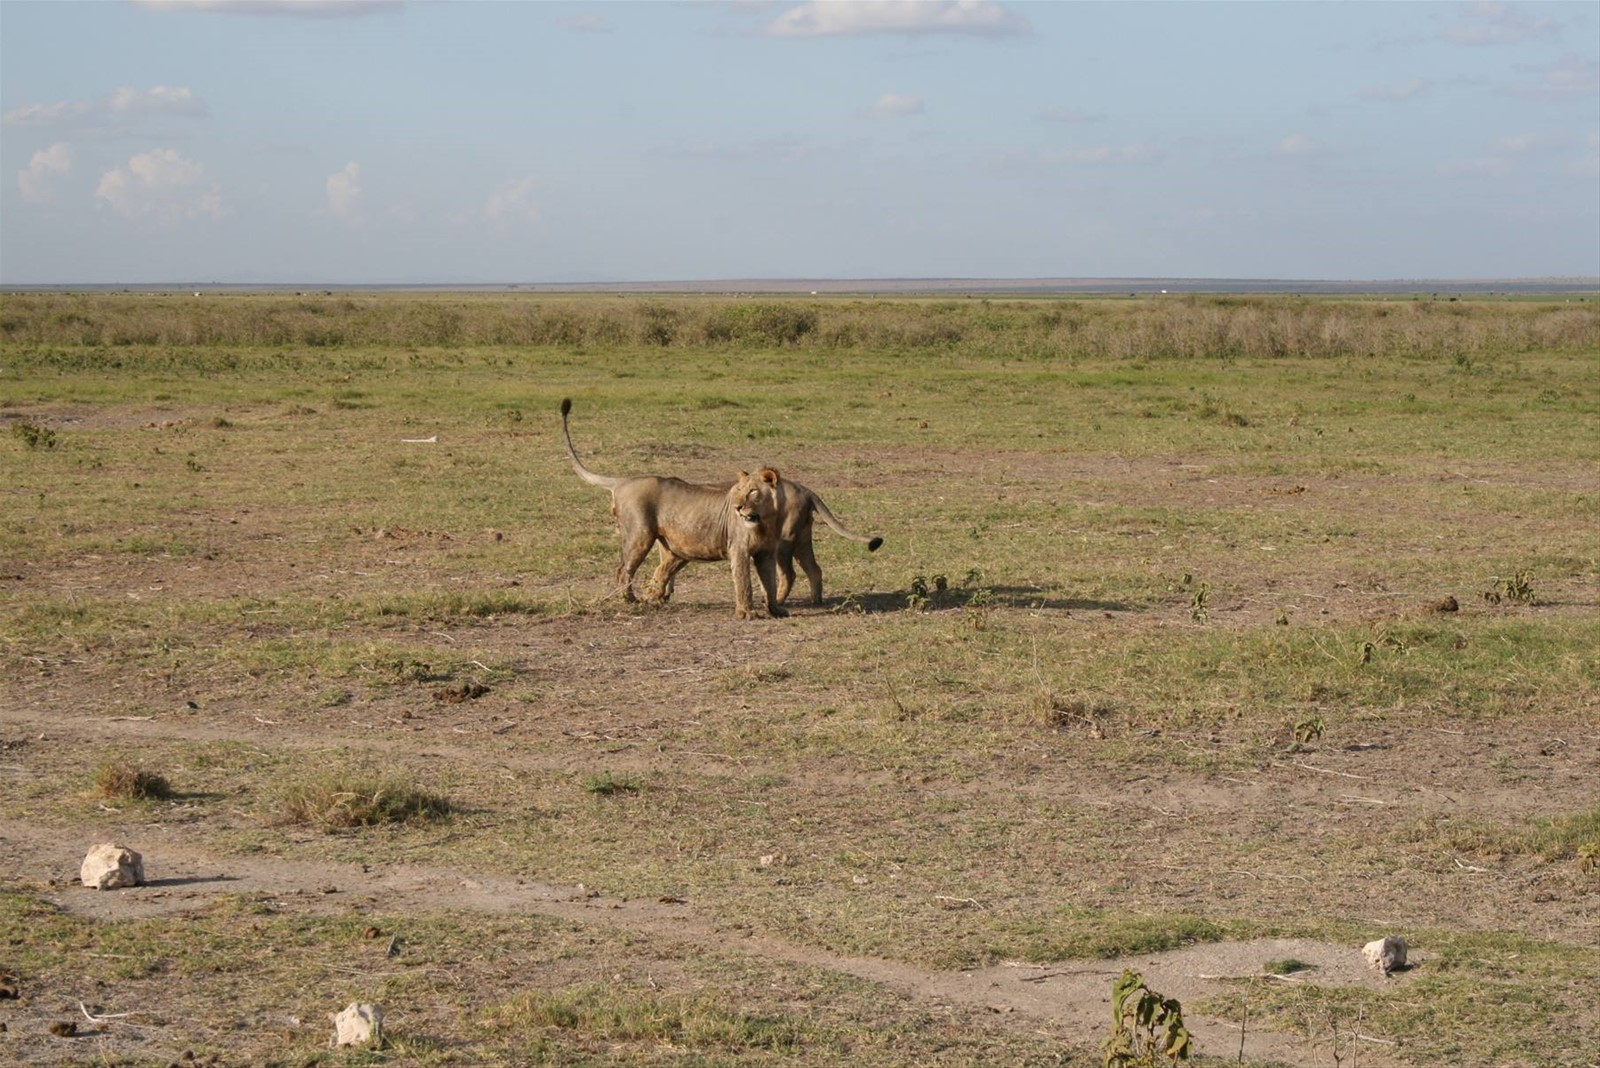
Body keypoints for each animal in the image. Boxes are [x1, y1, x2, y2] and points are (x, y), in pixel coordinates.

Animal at [560, 399, 788, 619]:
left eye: (752, 491)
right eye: (738, 490)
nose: (737, 507)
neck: (765, 520)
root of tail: (624, 481)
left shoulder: (767, 553)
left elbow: (770, 583)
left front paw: (776, 609)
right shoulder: (738, 549)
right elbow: (744, 582)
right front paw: (746, 613)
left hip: (673, 547)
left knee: (658, 572)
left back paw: (652, 599)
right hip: (639, 535)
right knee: (623, 570)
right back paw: (631, 601)